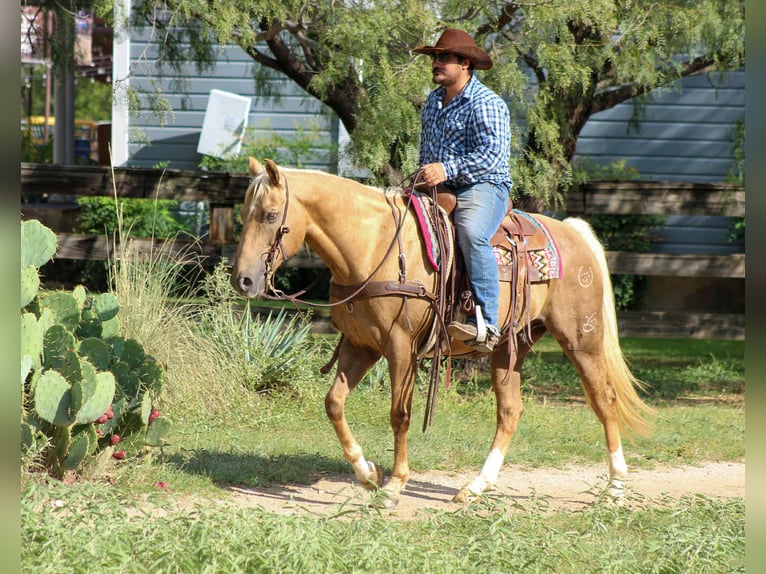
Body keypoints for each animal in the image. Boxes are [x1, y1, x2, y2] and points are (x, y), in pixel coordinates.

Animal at [231, 157, 654, 507]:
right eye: (245, 213)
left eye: (270, 215)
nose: (243, 281)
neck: (373, 246)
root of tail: (572, 232)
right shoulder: (360, 345)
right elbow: (334, 403)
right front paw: (368, 474)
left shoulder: (400, 348)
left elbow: (399, 414)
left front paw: (394, 486)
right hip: (510, 347)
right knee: (510, 410)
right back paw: (476, 487)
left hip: (581, 339)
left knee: (604, 400)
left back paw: (615, 488)